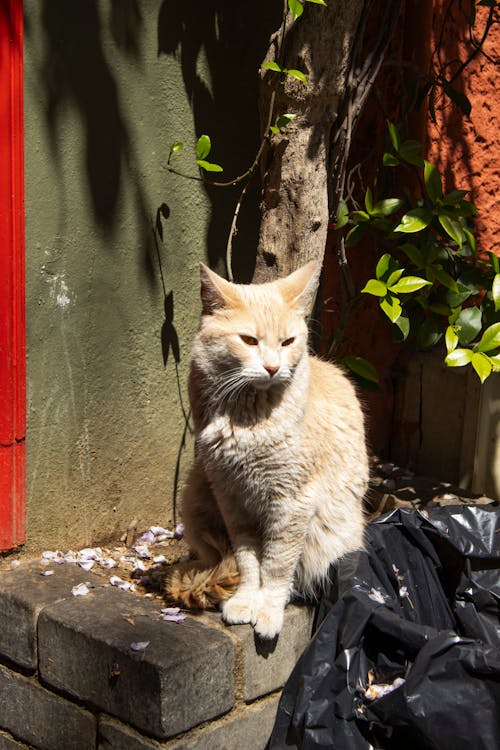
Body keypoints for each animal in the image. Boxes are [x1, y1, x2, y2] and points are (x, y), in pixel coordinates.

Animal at [166, 264, 370, 640]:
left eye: (288, 342)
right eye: (249, 341)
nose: (273, 368)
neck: (248, 416)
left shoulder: (292, 503)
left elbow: (277, 564)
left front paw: (268, 610)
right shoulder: (231, 499)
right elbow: (249, 560)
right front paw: (246, 600)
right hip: (195, 496)